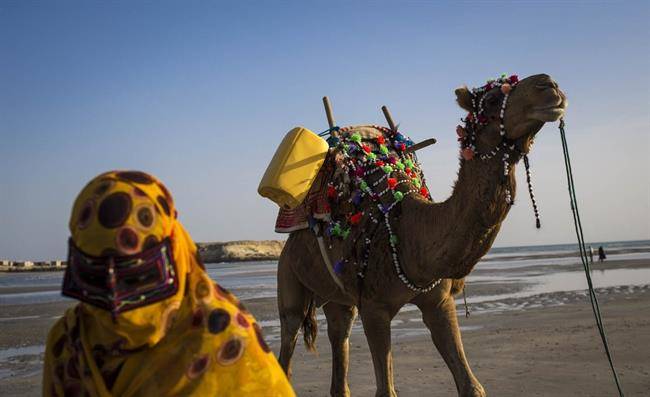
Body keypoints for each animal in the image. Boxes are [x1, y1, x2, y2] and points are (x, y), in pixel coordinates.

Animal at [276, 72, 564, 394]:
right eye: (490, 100)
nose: (548, 85)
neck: (410, 234)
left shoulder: (438, 302)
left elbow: (471, 385)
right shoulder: (374, 309)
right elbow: (386, 390)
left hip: (338, 298)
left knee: (339, 337)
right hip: (288, 275)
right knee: (289, 335)